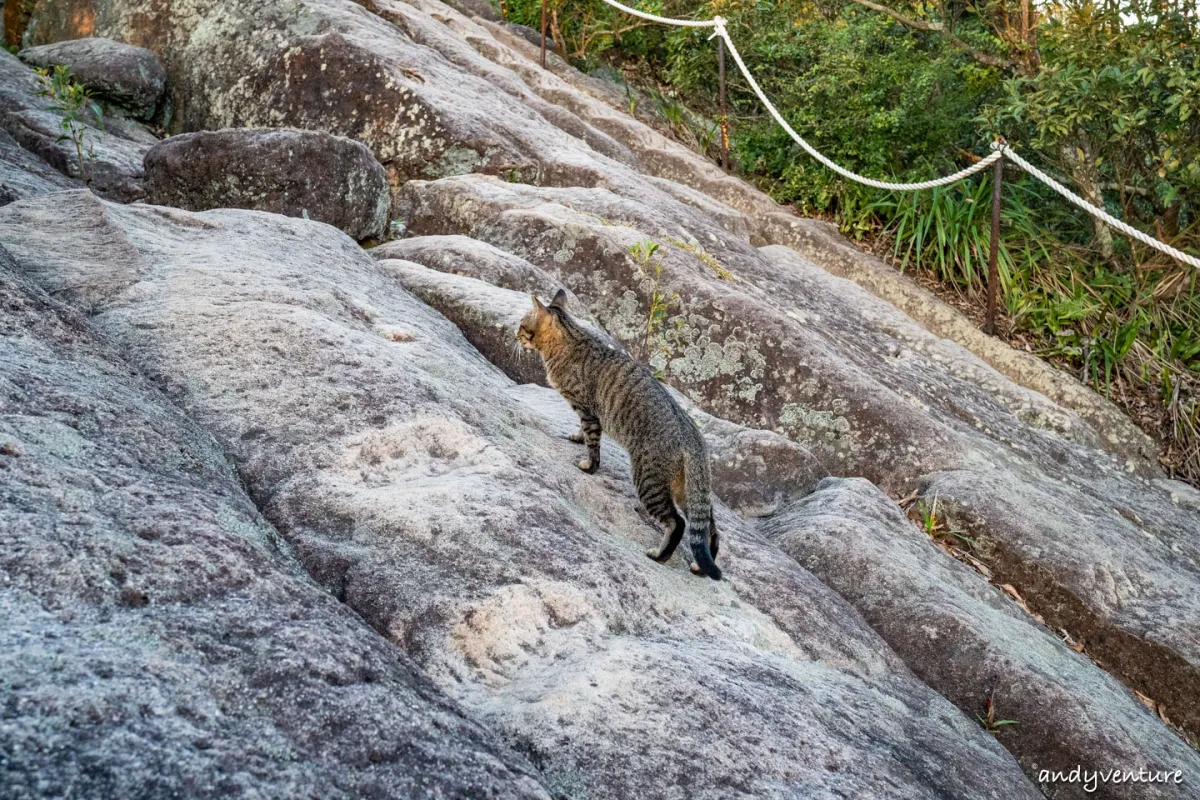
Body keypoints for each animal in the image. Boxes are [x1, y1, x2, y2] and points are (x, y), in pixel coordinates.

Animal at [518, 291, 720, 578]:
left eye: (522, 325)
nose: (515, 334)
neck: (569, 341)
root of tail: (693, 436)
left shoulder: (588, 410)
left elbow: (593, 442)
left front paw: (589, 465)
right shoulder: (588, 413)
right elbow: (583, 433)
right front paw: (577, 437)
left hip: (648, 478)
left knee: (677, 523)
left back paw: (660, 555)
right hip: (686, 489)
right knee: (710, 529)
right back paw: (700, 567)